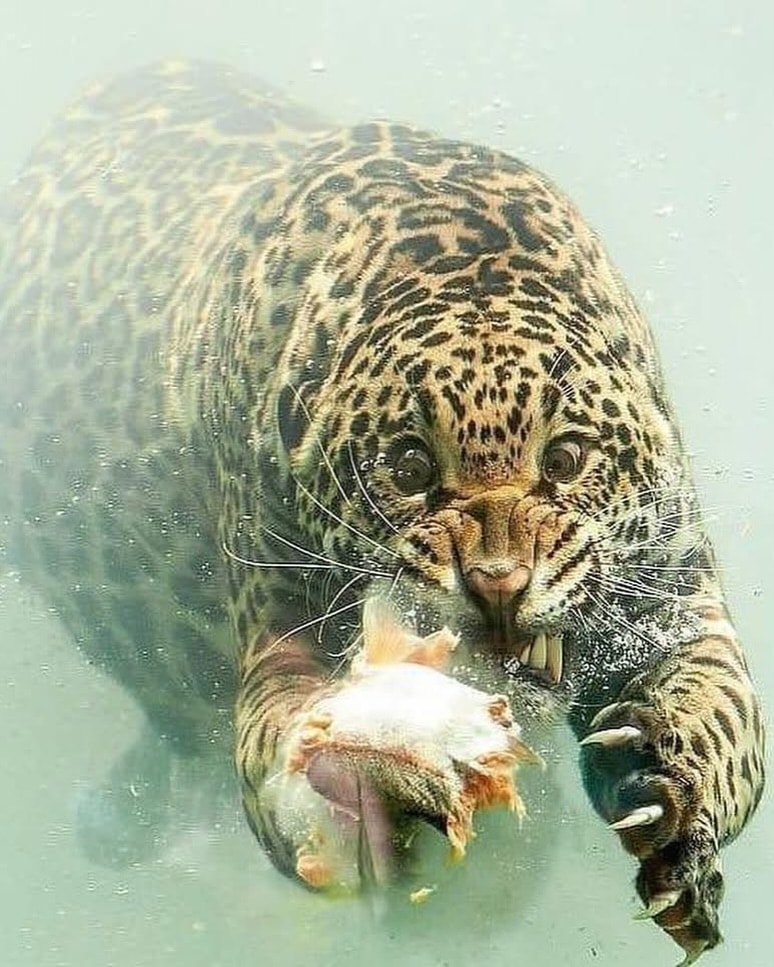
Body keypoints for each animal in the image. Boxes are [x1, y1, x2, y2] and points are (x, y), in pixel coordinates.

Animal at [0, 60, 764, 963]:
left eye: (566, 459)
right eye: (408, 468)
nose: (497, 585)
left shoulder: (678, 602)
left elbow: (724, 717)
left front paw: (663, 791)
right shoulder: (279, 639)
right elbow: (283, 756)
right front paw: (371, 774)